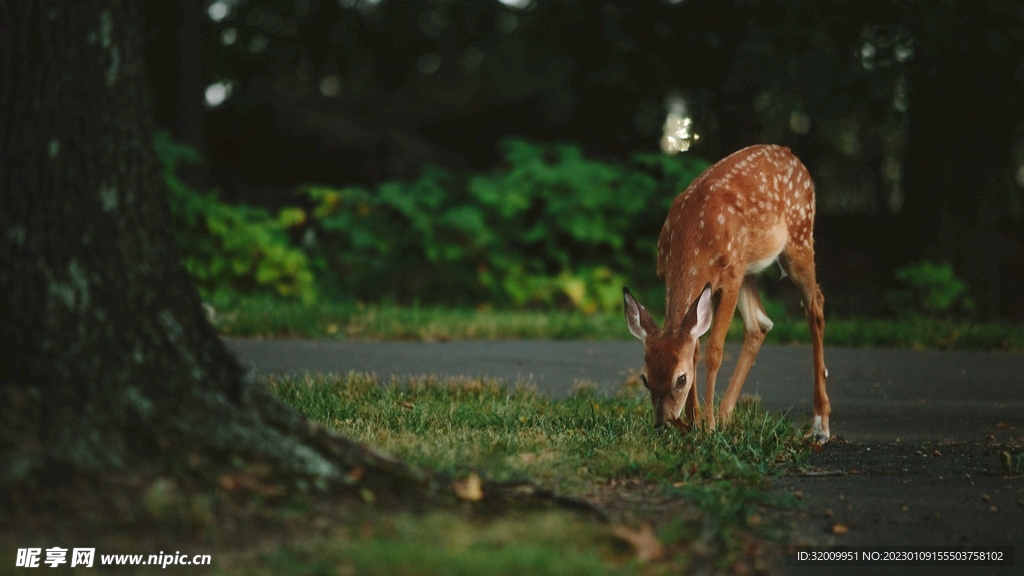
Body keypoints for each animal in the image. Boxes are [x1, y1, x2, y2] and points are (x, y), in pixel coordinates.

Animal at [622, 144, 831, 444]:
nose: (663, 424)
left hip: (798, 237)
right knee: (759, 324)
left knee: (815, 306)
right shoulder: (674, 276)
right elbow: (695, 347)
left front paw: (706, 425)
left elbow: (714, 351)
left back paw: (820, 424)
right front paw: (695, 421)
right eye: (645, 378)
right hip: (749, 268)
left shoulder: (730, 277)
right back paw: (725, 415)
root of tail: (791, 155)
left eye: (680, 379)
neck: (693, 238)